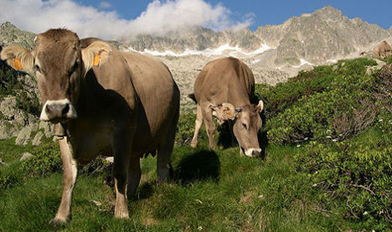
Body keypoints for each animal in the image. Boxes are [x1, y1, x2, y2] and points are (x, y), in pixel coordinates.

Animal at [0, 29, 179, 223]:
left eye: (76, 64)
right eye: (38, 67)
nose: (57, 109)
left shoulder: (122, 130)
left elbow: (119, 173)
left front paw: (121, 214)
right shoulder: (62, 135)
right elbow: (68, 177)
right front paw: (61, 216)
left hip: (170, 128)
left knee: (161, 164)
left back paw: (161, 192)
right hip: (135, 143)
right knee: (135, 172)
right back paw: (129, 197)